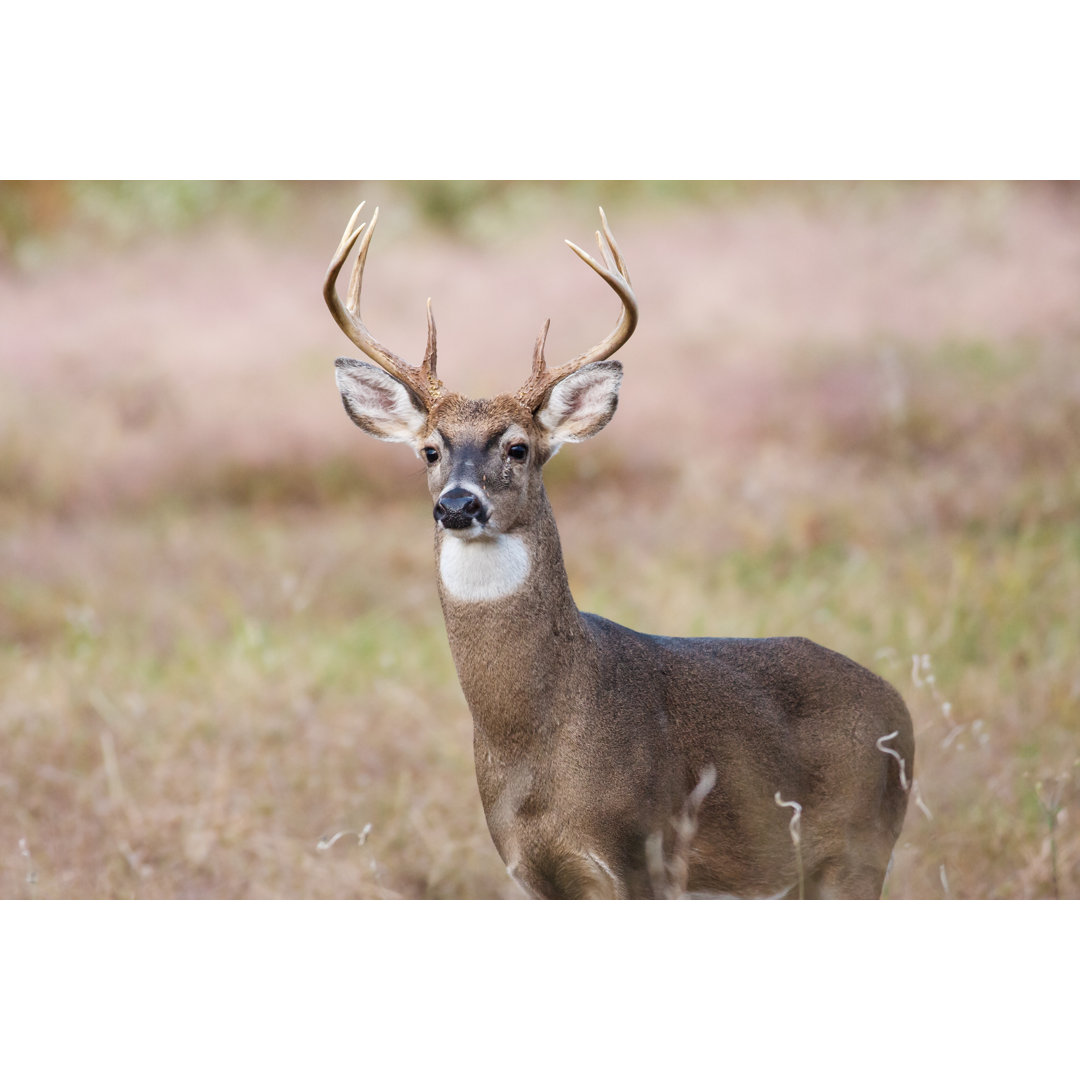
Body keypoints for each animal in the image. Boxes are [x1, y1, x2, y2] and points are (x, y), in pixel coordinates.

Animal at [319, 200, 911, 894]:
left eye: (518, 447)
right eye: (431, 451)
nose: (458, 505)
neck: (535, 741)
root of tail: (900, 707)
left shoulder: (641, 851)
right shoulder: (527, 866)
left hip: (859, 849)